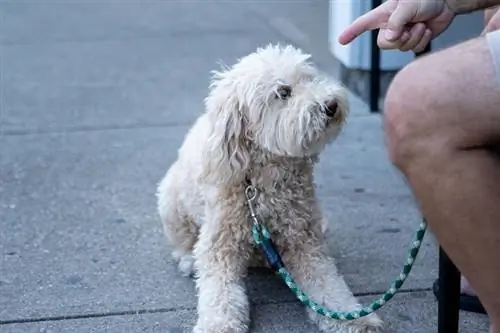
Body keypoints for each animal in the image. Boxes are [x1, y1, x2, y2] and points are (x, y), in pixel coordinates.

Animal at [156, 44, 382, 332]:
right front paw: (219, 324)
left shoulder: (305, 240)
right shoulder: (220, 245)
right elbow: (220, 293)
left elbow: (328, 285)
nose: (331, 105)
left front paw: (356, 318)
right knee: (183, 240)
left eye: (309, 79)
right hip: (170, 203)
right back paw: (188, 259)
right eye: (283, 92)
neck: (262, 181)